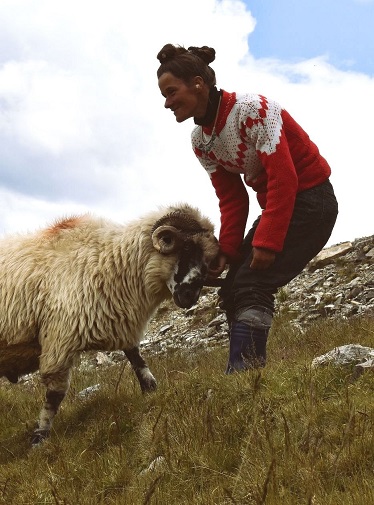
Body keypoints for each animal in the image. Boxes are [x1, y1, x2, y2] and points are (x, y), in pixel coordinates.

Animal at [0, 203, 219, 442]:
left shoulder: (119, 321)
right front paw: (40, 437)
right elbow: (54, 395)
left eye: (208, 259)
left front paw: (150, 389)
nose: (190, 297)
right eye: (187, 247)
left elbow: (137, 359)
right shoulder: (59, 338)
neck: (108, 262)